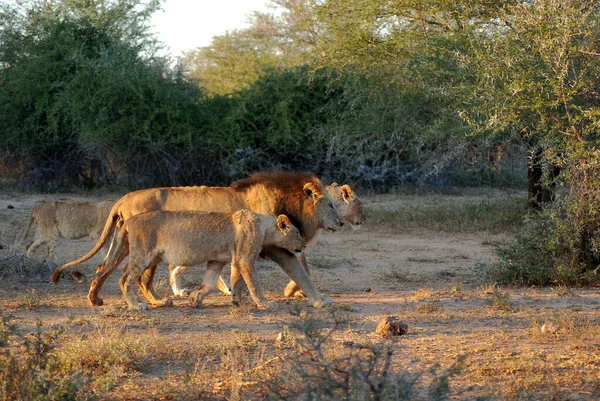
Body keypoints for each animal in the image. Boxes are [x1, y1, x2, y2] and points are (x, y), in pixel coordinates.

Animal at [96, 208, 308, 310]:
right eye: (298, 232)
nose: (304, 245)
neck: (264, 226)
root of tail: (130, 220)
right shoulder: (245, 259)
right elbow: (255, 285)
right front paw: (265, 304)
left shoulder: (218, 260)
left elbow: (210, 284)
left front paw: (194, 298)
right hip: (143, 254)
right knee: (125, 278)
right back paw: (136, 306)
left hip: (153, 257)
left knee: (139, 278)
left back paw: (160, 302)